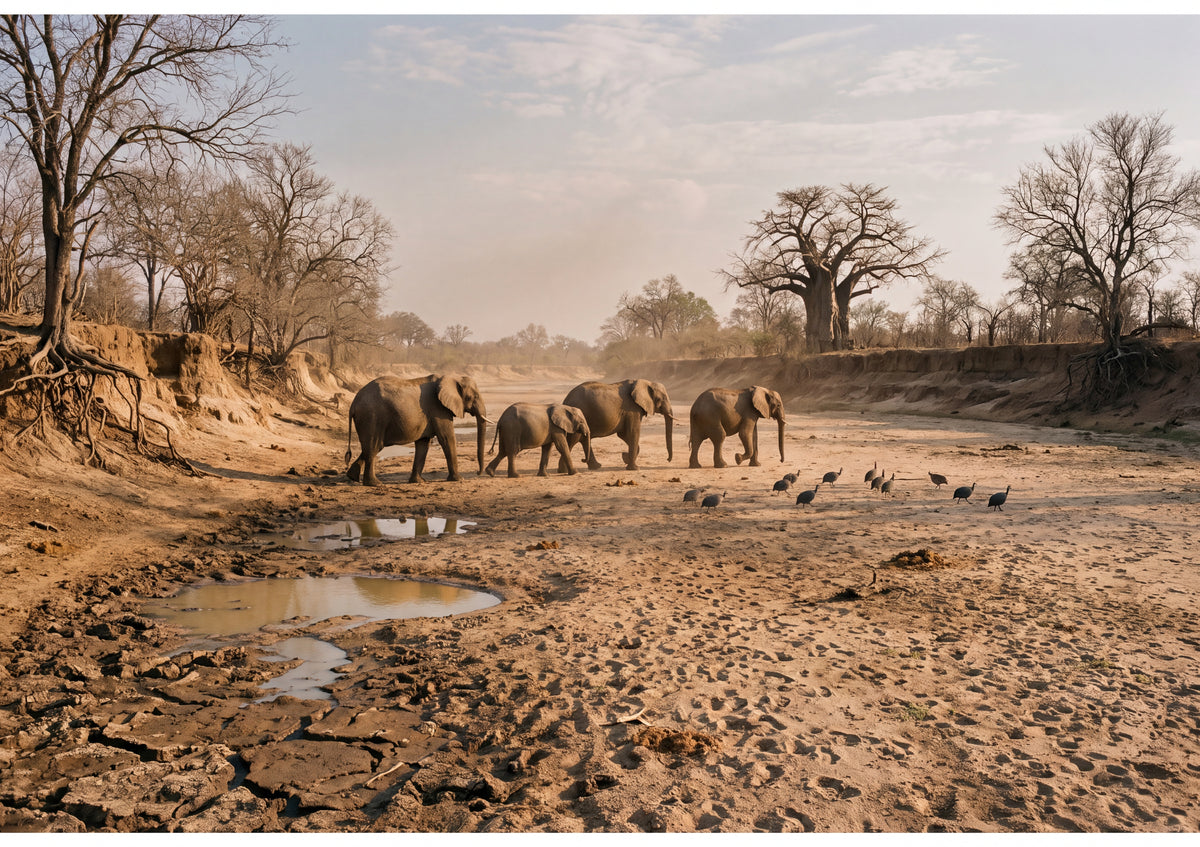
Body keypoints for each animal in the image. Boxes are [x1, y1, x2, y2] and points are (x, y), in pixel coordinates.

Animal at [345, 373, 488, 486]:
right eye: (473, 397)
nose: (478, 472)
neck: (453, 377)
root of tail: (353, 403)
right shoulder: (438, 409)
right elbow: (447, 438)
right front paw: (459, 479)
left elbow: (423, 443)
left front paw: (418, 481)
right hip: (372, 416)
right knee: (374, 446)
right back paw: (375, 484)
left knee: (371, 447)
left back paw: (352, 477)